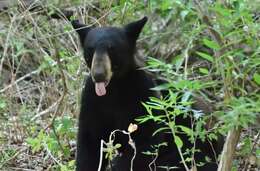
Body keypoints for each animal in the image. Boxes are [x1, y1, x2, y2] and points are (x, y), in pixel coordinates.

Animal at [71, 17, 221, 171]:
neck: (114, 87)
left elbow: (146, 139)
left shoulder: (144, 93)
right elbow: (90, 142)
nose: (99, 75)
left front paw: (118, 165)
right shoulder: (91, 98)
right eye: (90, 49)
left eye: (112, 49)